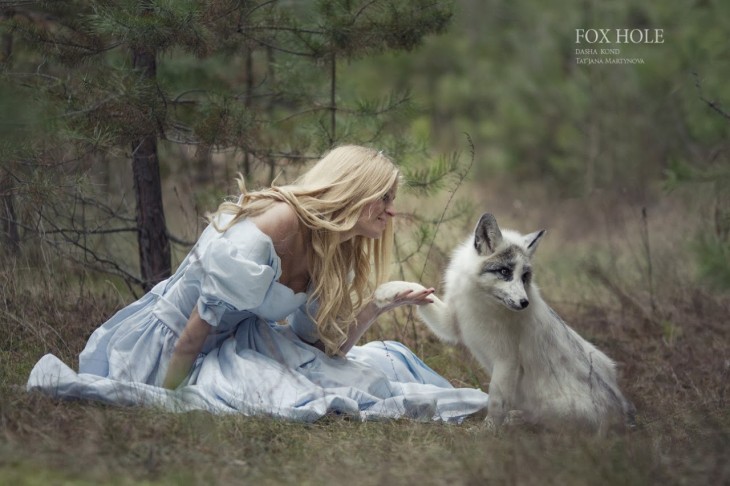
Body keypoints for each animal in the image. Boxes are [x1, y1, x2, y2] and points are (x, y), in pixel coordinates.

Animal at [376, 215, 632, 430]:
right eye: (504, 272)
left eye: (524, 277)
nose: (524, 303)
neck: (482, 302)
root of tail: (624, 414)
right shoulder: (452, 324)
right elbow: (419, 290)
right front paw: (390, 290)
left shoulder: (506, 359)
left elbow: (496, 400)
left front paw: (487, 431)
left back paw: (517, 420)